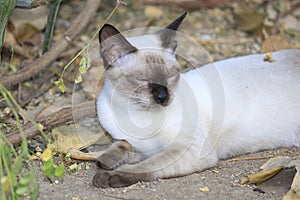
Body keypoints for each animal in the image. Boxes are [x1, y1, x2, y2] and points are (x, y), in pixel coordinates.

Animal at [93, 12, 300, 188]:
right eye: (143, 80)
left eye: (170, 76)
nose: (163, 97)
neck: (133, 113)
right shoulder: (138, 144)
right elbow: (120, 145)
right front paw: (104, 161)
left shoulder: (186, 149)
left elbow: (146, 166)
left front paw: (107, 176)